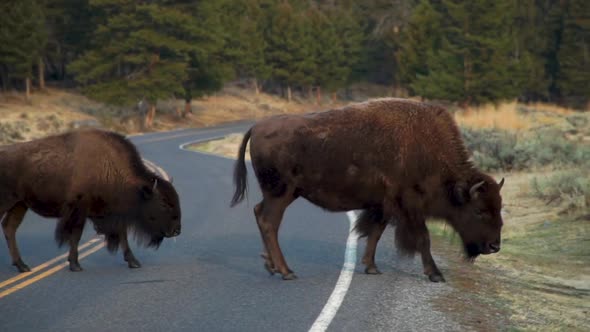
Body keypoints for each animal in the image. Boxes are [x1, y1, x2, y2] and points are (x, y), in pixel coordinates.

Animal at [0, 128, 180, 272]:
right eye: (164, 202)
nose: (177, 230)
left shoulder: (112, 215)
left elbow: (122, 235)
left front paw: (133, 262)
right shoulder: (79, 211)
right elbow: (76, 235)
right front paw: (75, 265)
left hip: (20, 205)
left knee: (9, 227)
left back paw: (22, 266)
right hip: (8, 202)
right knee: (9, 227)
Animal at [231, 97, 504, 282]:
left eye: (500, 208)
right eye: (479, 210)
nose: (495, 246)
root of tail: (257, 127)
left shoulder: (383, 206)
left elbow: (375, 233)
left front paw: (371, 267)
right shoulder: (409, 207)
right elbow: (422, 239)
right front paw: (435, 274)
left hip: (281, 194)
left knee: (260, 214)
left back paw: (271, 266)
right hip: (282, 193)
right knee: (269, 222)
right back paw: (286, 271)